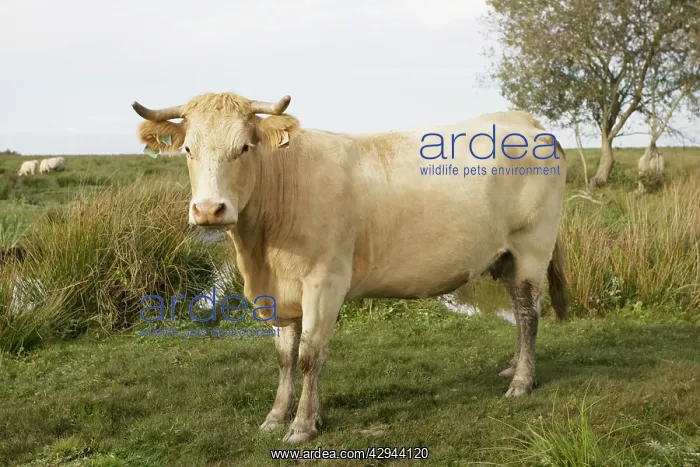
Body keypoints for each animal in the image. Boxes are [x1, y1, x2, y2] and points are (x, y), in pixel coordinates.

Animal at [131, 92, 568, 444]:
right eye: (188, 150)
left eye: (244, 148)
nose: (209, 210)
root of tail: (526, 122)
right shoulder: (278, 292)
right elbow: (284, 356)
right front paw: (276, 416)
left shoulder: (325, 281)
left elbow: (310, 355)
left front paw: (303, 426)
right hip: (505, 256)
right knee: (519, 309)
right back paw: (515, 369)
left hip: (532, 248)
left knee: (528, 311)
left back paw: (522, 383)